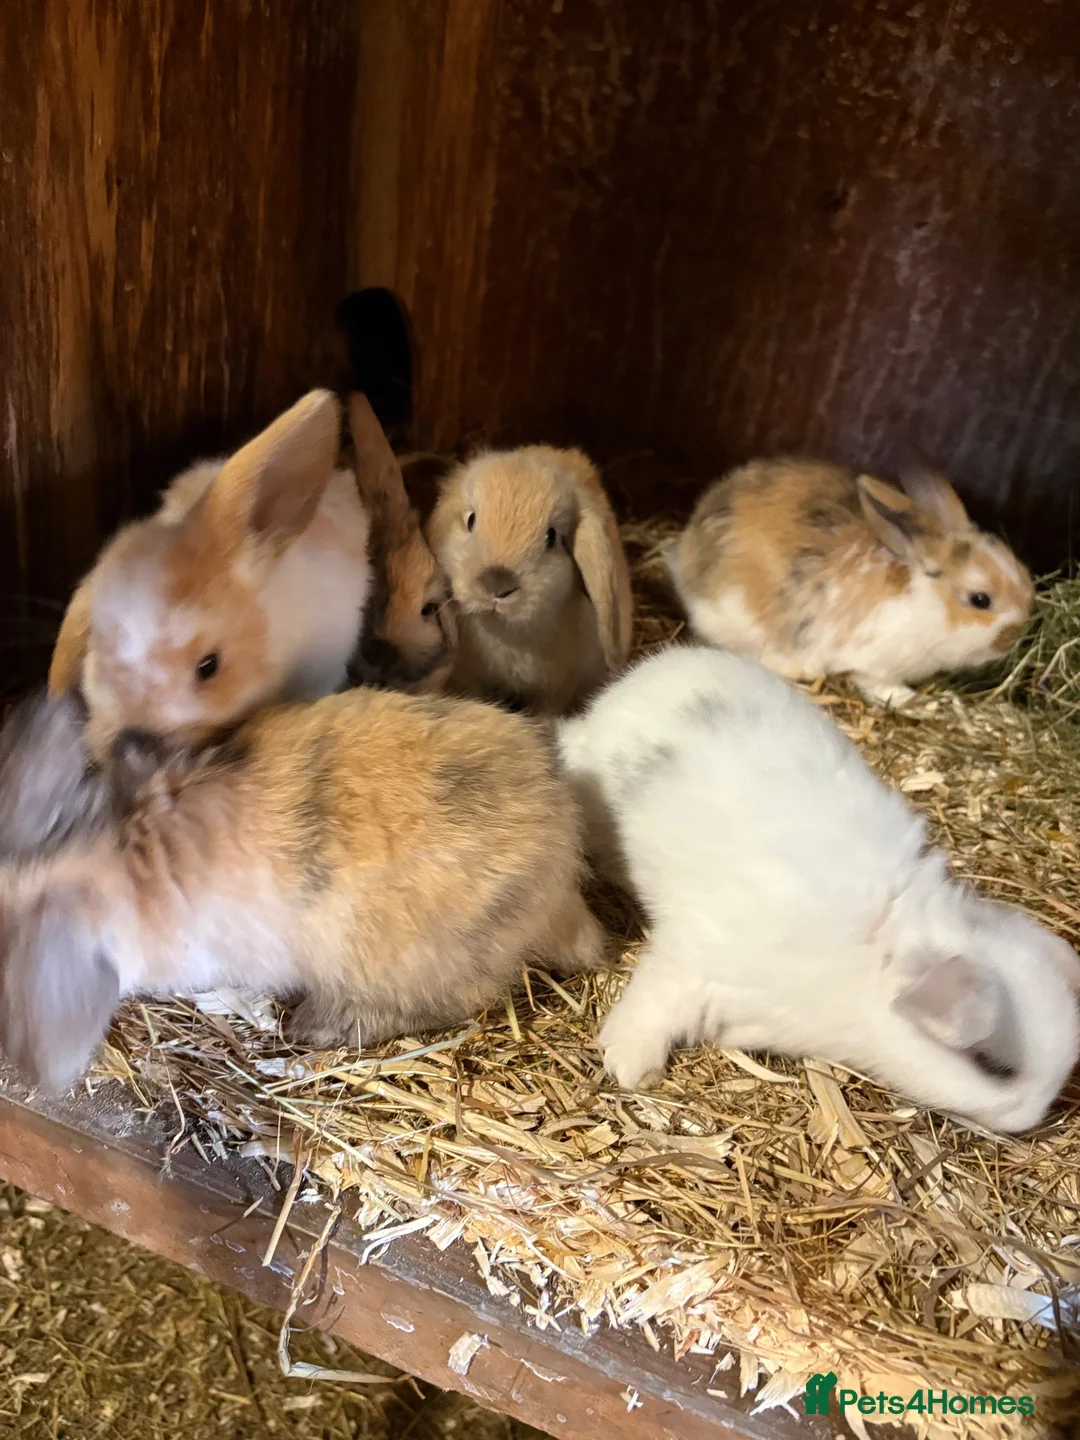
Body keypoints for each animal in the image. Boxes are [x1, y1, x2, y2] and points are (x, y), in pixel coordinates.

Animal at [426, 446, 633, 715]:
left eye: (552, 537)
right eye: (471, 519)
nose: (497, 585)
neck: (504, 631)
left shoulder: (557, 686)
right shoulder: (469, 677)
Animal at [557, 645, 1080, 1133]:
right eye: (993, 1066)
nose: (1030, 1120)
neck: (873, 964)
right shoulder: (691, 960)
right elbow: (654, 1003)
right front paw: (629, 1067)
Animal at [667, 459, 1034, 707]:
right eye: (980, 600)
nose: (1013, 639)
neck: (926, 602)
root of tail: (686, 555)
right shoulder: (872, 661)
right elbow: (878, 684)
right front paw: (910, 699)